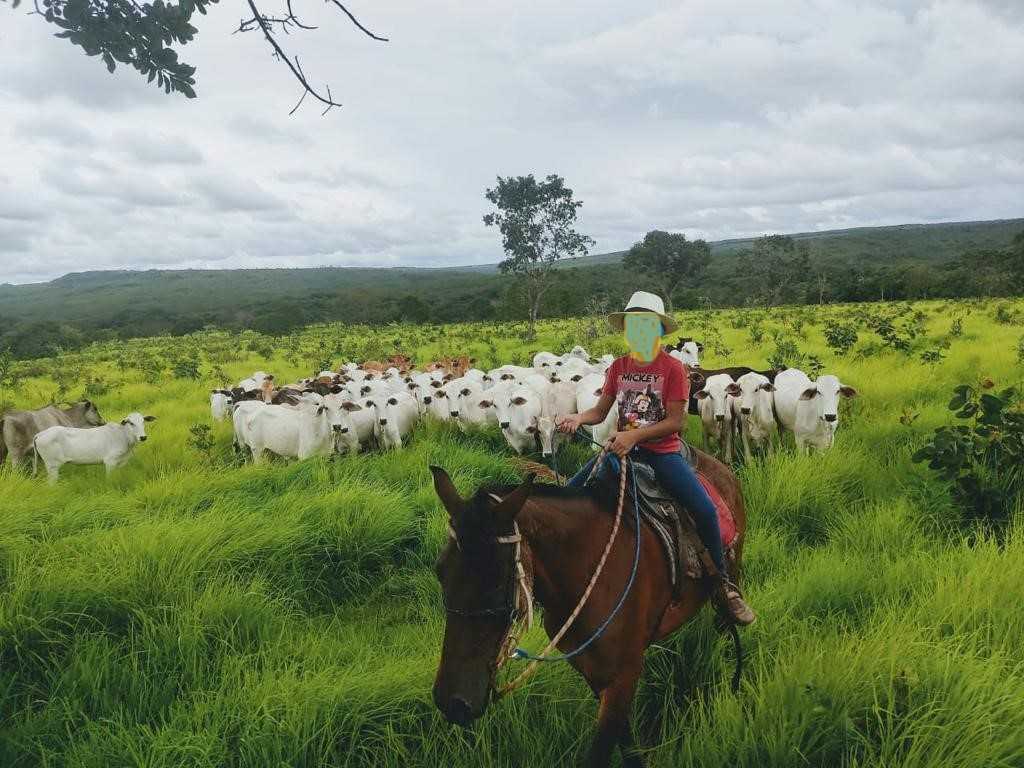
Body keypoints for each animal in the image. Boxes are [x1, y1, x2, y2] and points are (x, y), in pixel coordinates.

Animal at [428, 450, 749, 768]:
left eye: (498, 580)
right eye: (440, 571)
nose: (453, 702)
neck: (588, 572)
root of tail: (719, 465)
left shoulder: (624, 677)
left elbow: (601, 752)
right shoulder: (594, 673)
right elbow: (627, 746)